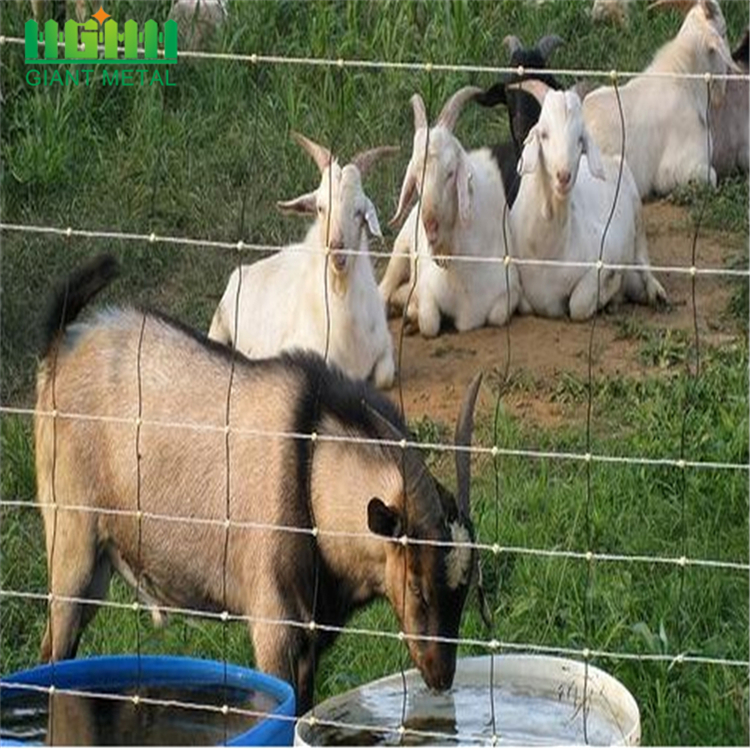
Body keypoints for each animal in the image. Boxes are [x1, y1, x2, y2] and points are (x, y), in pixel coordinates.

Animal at [210, 134, 400, 390]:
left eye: (359, 211)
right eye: (320, 207)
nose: (337, 250)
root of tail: (244, 270)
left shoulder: (384, 344)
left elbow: (384, 378)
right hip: (219, 323)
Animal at [382, 84, 524, 338]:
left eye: (450, 172)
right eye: (416, 177)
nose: (430, 226)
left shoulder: (509, 289)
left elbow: (497, 316)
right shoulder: (427, 287)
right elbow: (429, 322)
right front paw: (411, 314)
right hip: (402, 246)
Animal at [512, 83, 668, 324]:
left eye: (580, 139)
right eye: (544, 134)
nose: (563, 176)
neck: (547, 253)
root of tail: (610, 157)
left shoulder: (608, 250)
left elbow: (578, 304)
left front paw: (610, 288)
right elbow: (525, 304)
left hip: (637, 211)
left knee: (643, 258)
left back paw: (654, 293)